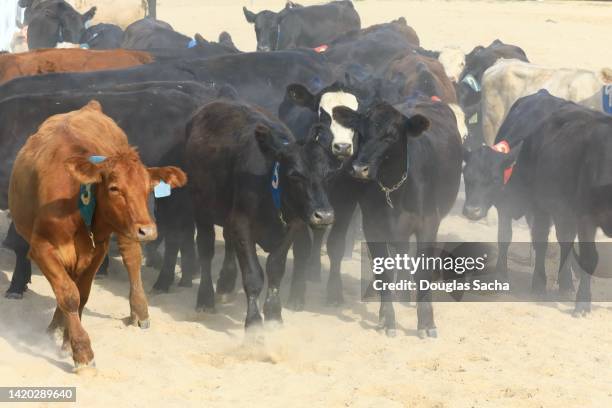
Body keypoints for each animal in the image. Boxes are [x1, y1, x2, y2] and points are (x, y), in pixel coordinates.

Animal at [8, 101, 186, 370]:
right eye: (114, 188)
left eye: (148, 188)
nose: (149, 230)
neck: (77, 203)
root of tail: (89, 106)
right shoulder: (41, 249)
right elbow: (68, 294)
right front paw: (78, 347)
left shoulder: (97, 251)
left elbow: (81, 295)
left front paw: (72, 344)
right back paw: (55, 327)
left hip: (125, 231)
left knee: (132, 259)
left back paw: (139, 312)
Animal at [188, 100, 334, 326]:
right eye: (295, 175)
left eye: (327, 174)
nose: (324, 215)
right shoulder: (241, 224)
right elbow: (253, 275)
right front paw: (254, 322)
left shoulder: (293, 225)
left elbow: (275, 268)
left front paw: (274, 314)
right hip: (201, 209)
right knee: (205, 250)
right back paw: (205, 299)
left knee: (228, 242)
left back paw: (226, 283)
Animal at [332, 97, 462, 336]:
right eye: (359, 132)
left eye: (390, 136)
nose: (359, 168)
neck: (395, 189)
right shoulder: (372, 227)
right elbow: (384, 271)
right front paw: (387, 319)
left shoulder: (428, 224)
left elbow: (422, 272)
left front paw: (426, 322)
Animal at [464, 91, 612, 316]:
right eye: (466, 176)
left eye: (494, 179)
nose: (472, 211)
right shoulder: (508, 205)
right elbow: (506, 237)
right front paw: (502, 276)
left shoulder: (547, 210)